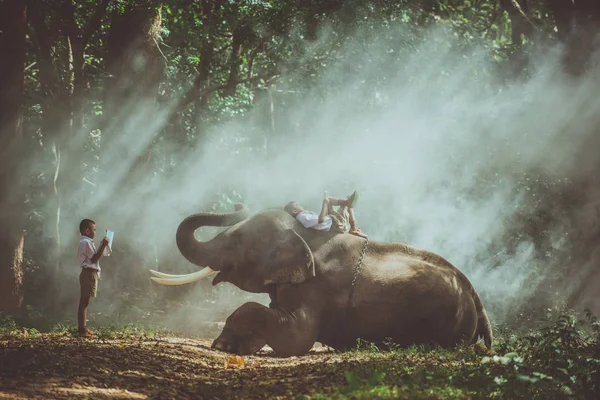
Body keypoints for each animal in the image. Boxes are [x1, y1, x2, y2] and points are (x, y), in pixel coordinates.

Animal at [151, 205, 492, 358]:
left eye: (236, 241)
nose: (236, 207)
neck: (305, 233)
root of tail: (476, 298)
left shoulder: (316, 288)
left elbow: (297, 338)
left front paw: (222, 345)